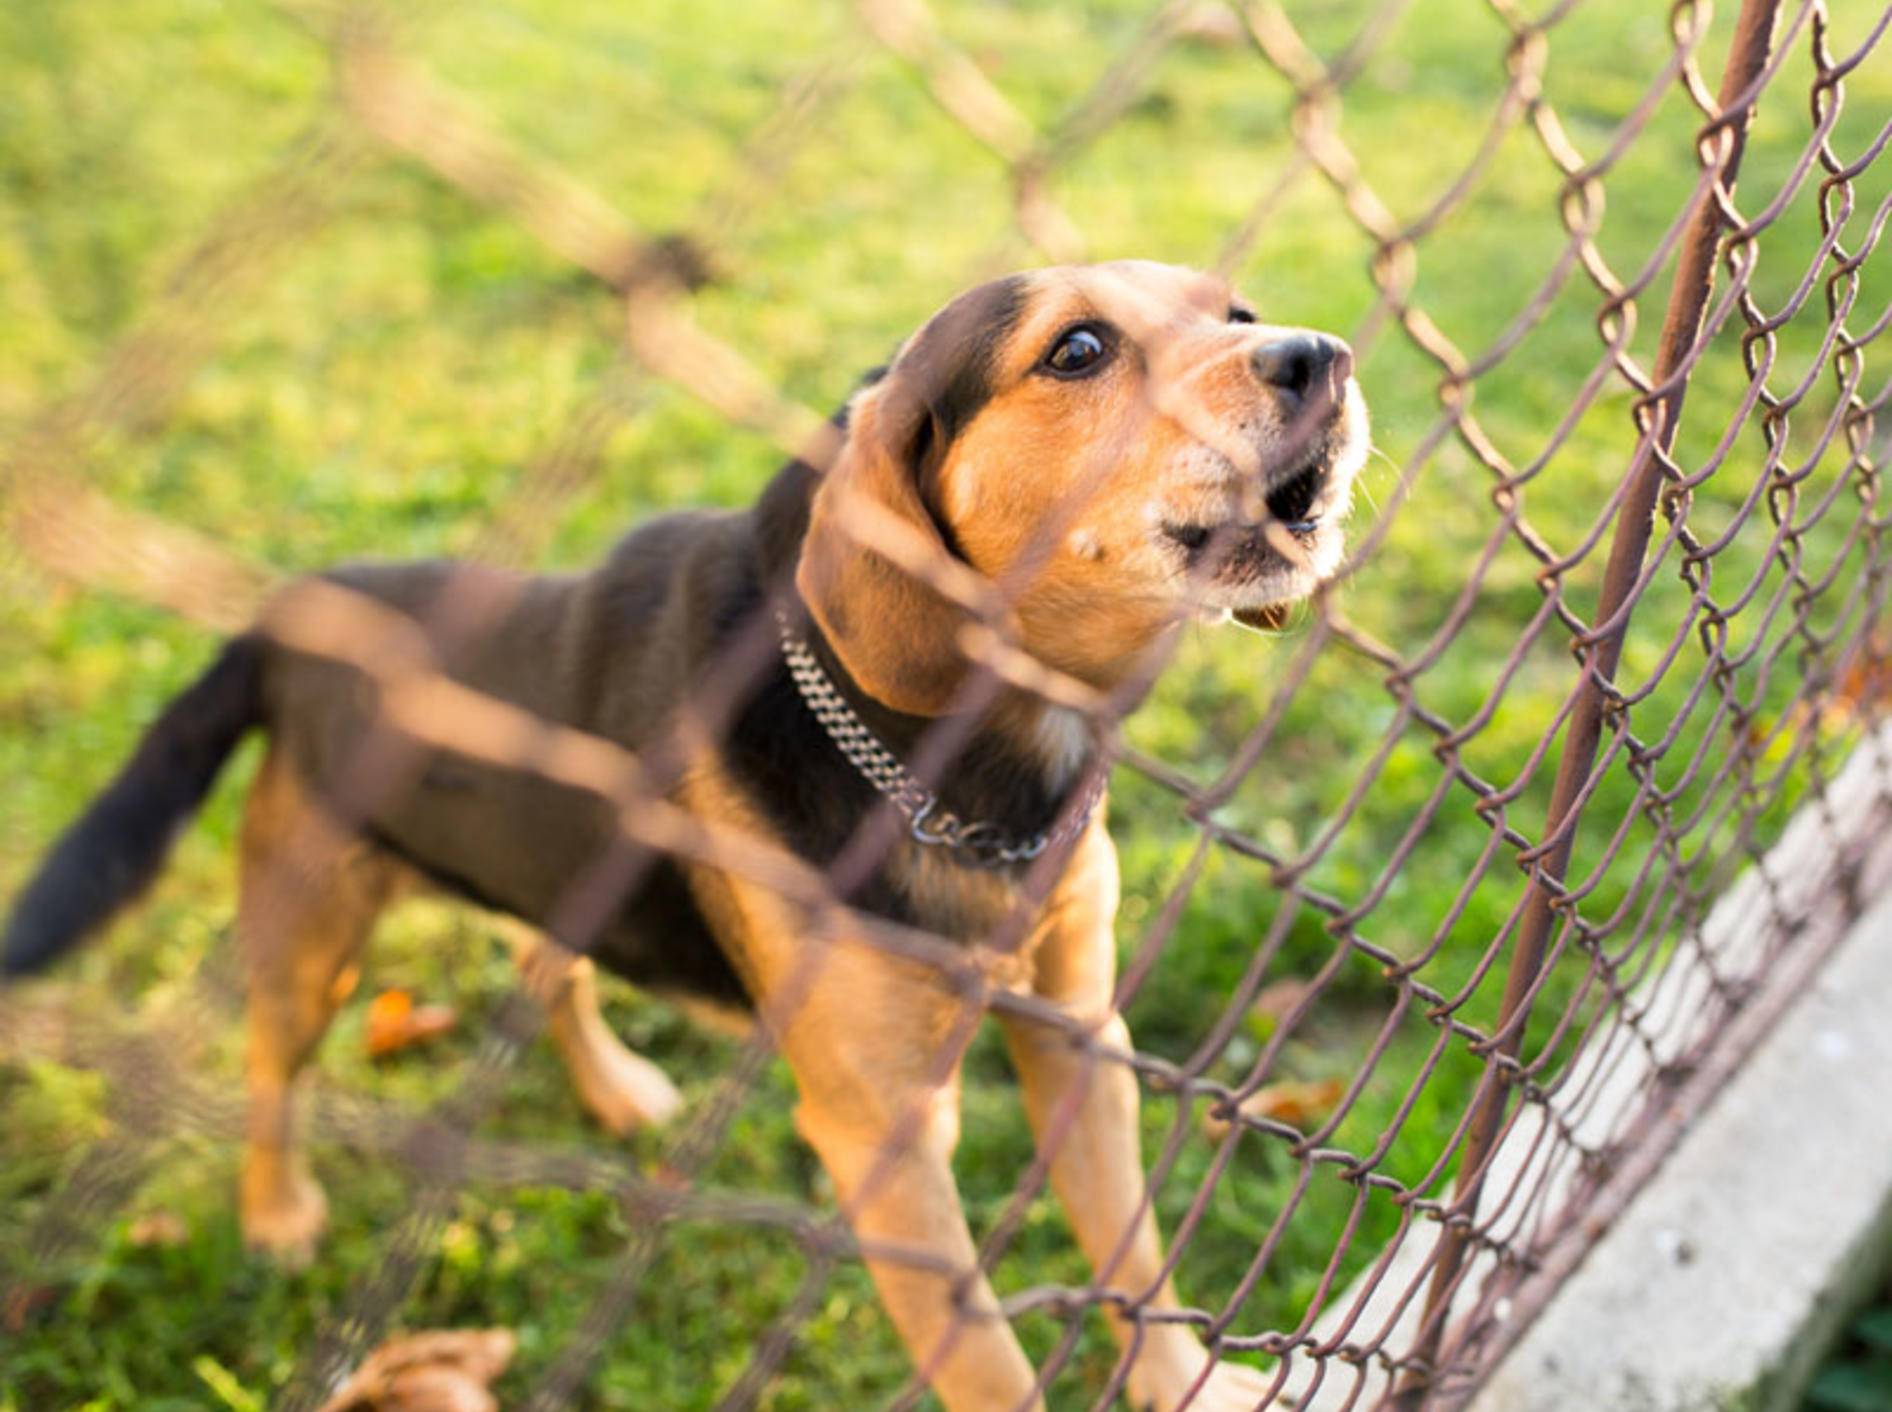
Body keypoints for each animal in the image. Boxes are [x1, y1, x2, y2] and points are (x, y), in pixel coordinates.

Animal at [0, 259, 1362, 1400]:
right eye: (1076, 348)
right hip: (312, 930)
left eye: (1235, 311)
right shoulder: (884, 1140)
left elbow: (1134, 1254)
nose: (1326, 354)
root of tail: (293, 614)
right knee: (270, 1065)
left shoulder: (1078, 1034)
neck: (976, 771)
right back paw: (278, 1211)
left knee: (544, 965)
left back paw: (615, 1091)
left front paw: (1191, 1384)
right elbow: (987, 1360)